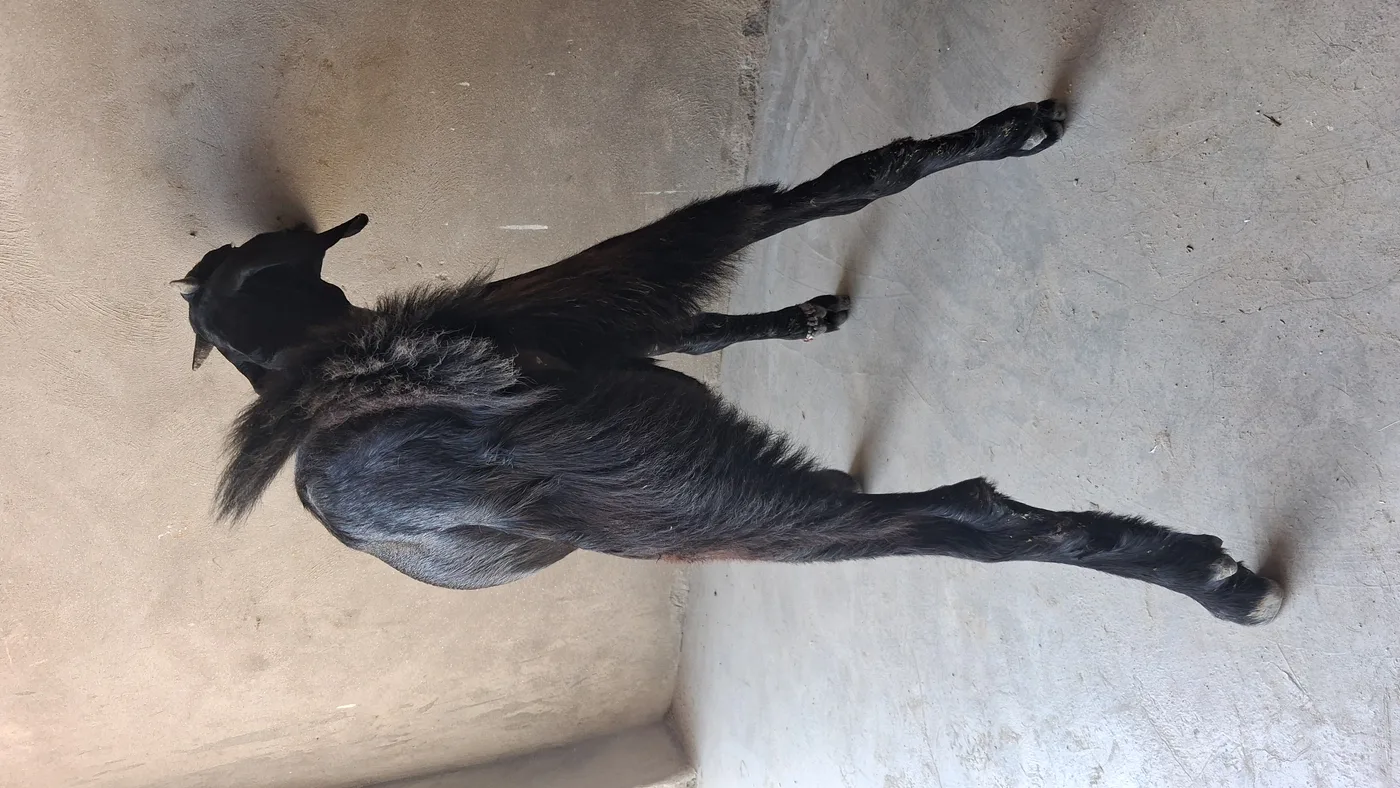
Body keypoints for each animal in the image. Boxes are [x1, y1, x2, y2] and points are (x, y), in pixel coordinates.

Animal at [173, 100, 1282, 625]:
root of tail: (376, 373)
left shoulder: (630, 326)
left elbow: (726, 308)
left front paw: (804, 316)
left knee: (828, 188)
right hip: (694, 502)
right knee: (956, 517)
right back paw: (1211, 579)